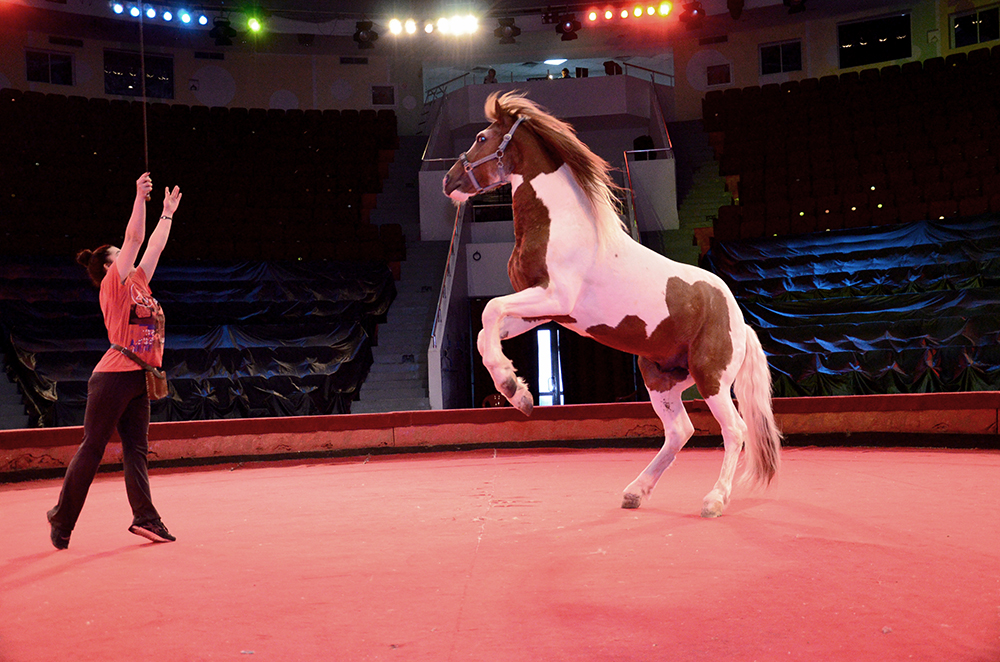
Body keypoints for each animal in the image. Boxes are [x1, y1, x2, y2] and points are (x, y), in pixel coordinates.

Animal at [446, 92, 780, 520]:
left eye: (482, 138)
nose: (449, 181)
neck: (560, 224)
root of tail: (740, 322)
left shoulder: (554, 296)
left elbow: (489, 310)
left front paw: (512, 388)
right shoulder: (546, 311)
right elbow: (485, 332)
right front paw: (519, 393)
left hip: (712, 377)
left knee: (734, 430)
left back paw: (714, 500)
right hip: (661, 376)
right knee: (680, 431)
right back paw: (636, 492)